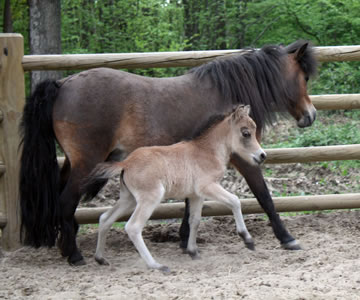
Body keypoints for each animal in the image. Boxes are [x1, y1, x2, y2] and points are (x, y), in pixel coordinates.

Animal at [81, 105, 266, 272]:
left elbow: (195, 220)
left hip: (129, 199)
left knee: (105, 218)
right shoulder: (208, 186)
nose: (262, 155)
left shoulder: (196, 195)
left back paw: (100, 258)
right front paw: (247, 239)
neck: (207, 151)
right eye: (246, 133)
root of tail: (125, 163)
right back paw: (156, 265)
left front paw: (193, 252)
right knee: (133, 227)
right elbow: (235, 201)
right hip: (150, 198)